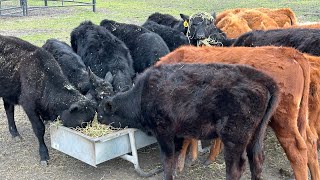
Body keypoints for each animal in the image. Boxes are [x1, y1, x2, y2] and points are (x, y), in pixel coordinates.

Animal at [0, 34, 97, 165]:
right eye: (81, 123)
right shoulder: (29, 106)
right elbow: (39, 129)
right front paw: (44, 155)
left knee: (9, 110)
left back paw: (15, 133)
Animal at [97, 62, 280, 179]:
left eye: (100, 113)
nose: (97, 121)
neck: (141, 95)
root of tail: (263, 78)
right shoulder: (177, 135)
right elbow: (176, 157)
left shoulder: (164, 132)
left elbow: (167, 160)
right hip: (255, 136)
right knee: (257, 161)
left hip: (233, 139)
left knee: (235, 168)